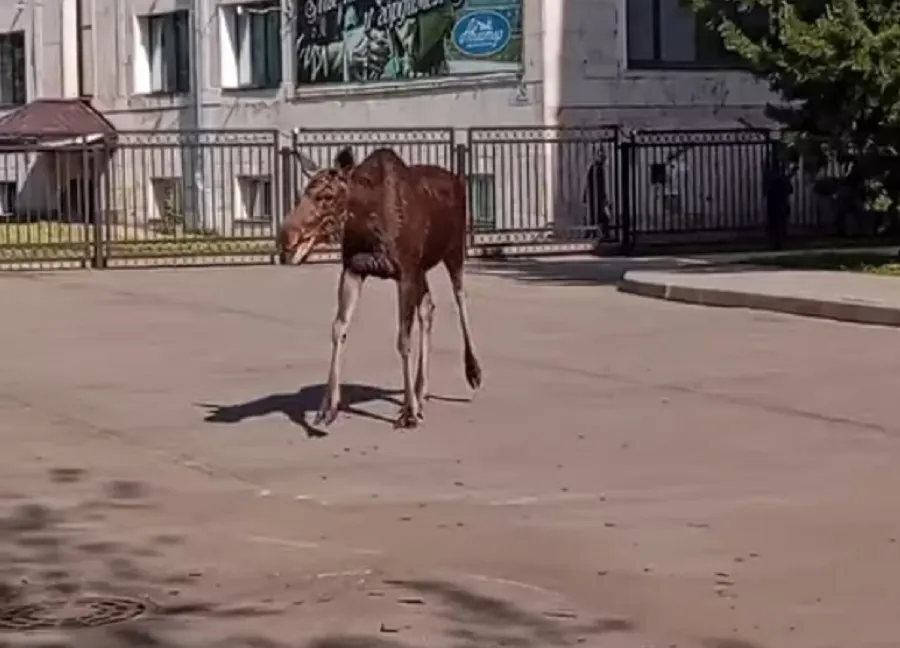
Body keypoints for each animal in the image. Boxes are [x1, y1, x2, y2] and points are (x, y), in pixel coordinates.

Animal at [276, 146, 482, 430]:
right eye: (301, 195)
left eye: (326, 196)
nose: (285, 238)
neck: (366, 219)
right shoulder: (354, 269)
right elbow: (338, 328)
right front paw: (327, 408)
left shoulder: (404, 273)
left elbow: (403, 339)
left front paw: (408, 413)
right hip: (422, 269)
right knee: (428, 307)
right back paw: (421, 392)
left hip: (454, 251)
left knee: (460, 297)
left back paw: (471, 372)